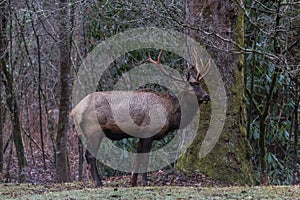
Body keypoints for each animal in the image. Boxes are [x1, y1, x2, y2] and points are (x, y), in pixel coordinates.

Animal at [71, 50, 210, 188]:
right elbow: (145, 158)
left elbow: (137, 158)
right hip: (93, 131)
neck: (170, 116)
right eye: (191, 88)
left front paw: (133, 182)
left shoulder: (141, 135)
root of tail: (74, 111)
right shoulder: (149, 131)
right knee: (90, 156)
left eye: (199, 85)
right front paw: (144, 182)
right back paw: (98, 183)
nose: (207, 96)